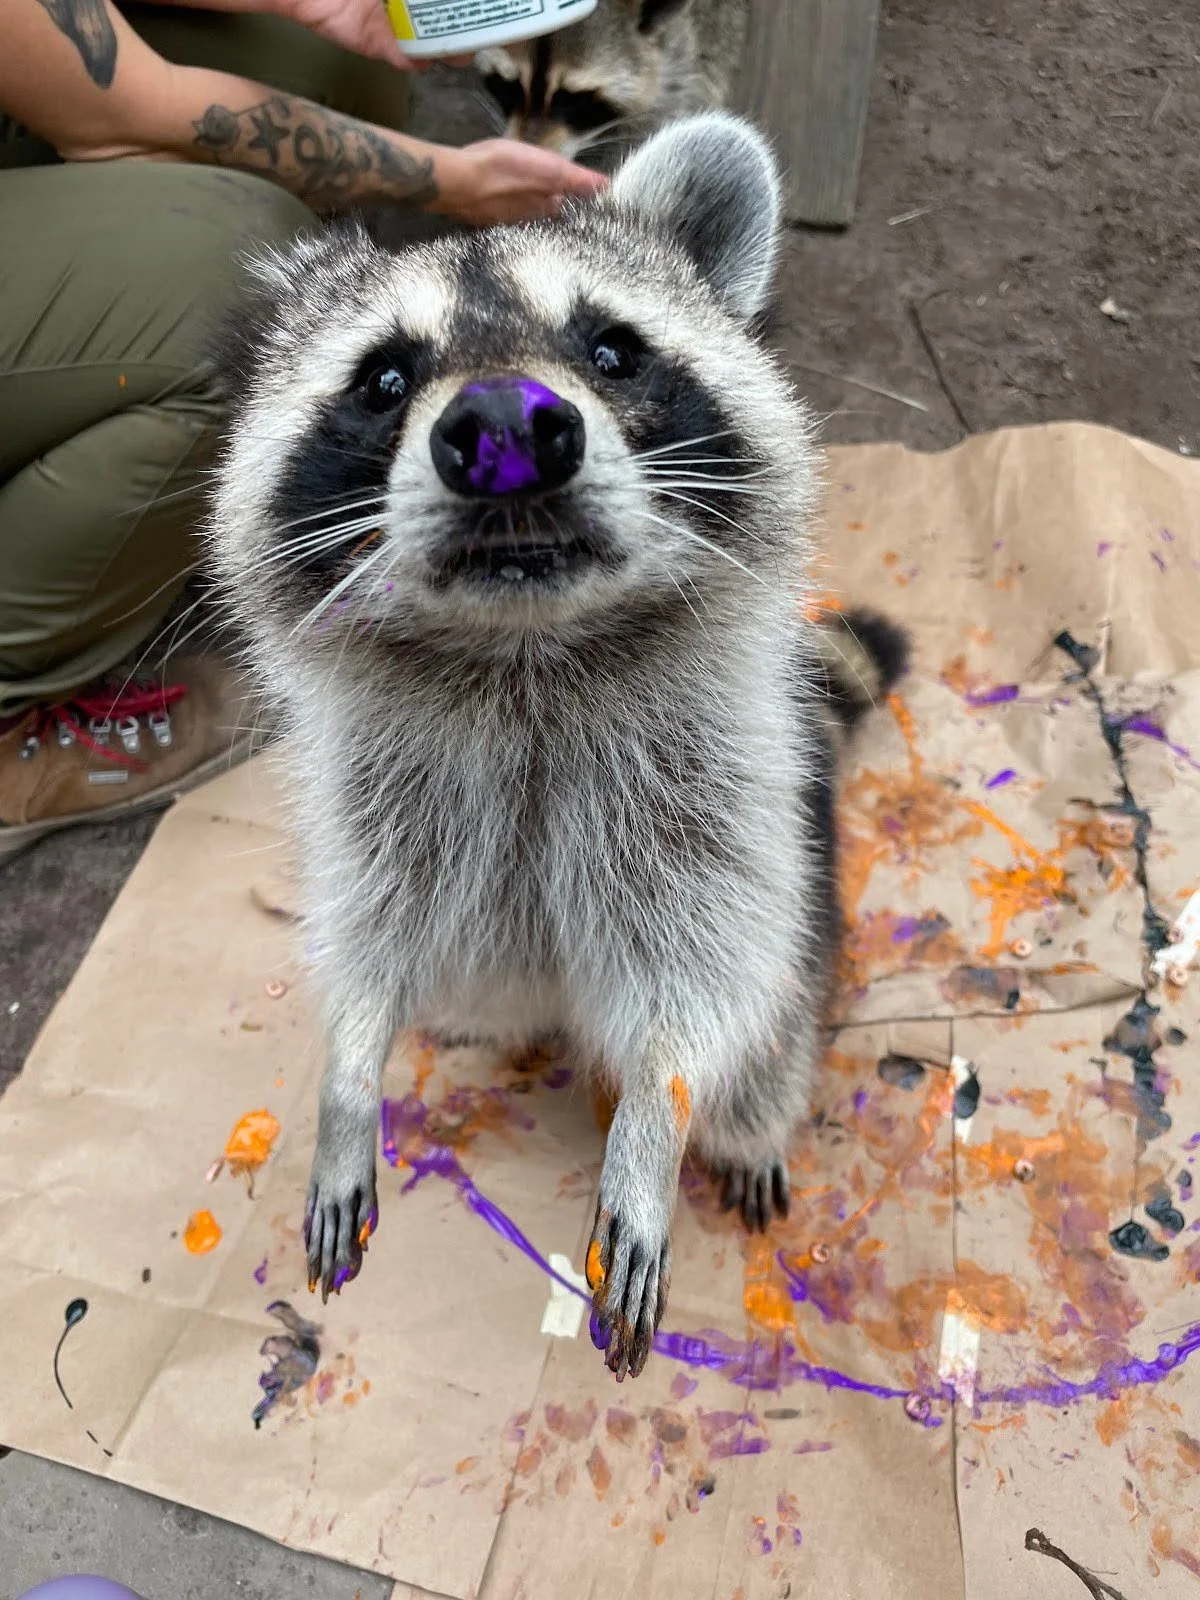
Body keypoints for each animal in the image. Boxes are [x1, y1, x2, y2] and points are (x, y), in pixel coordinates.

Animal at [209, 113, 907, 1382]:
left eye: (613, 348)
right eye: (384, 379)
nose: (503, 427)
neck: (526, 649)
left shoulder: (730, 801)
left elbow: (709, 985)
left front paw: (653, 1131)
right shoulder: (370, 804)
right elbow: (368, 941)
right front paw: (349, 1077)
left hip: (809, 915)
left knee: (769, 1043)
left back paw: (745, 1128)